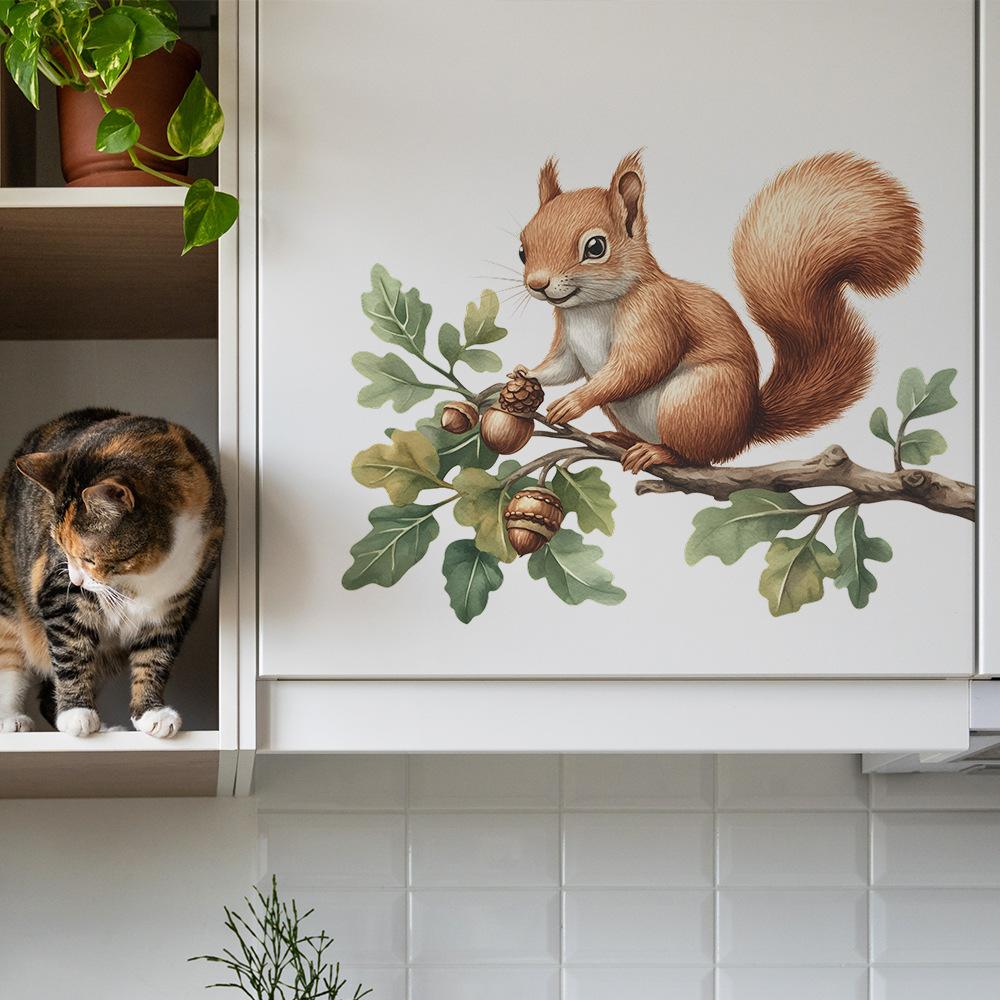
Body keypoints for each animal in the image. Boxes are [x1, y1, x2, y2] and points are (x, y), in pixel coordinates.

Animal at [514, 150, 923, 471]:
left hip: (696, 399)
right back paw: (619, 440)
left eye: (595, 247)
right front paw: (525, 374)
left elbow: (640, 364)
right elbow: (562, 366)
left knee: (696, 455)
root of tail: (745, 429)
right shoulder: (567, 337)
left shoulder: (657, 312)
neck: (589, 308)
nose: (538, 283)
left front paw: (574, 401)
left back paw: (659, 453)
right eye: (522, 248)